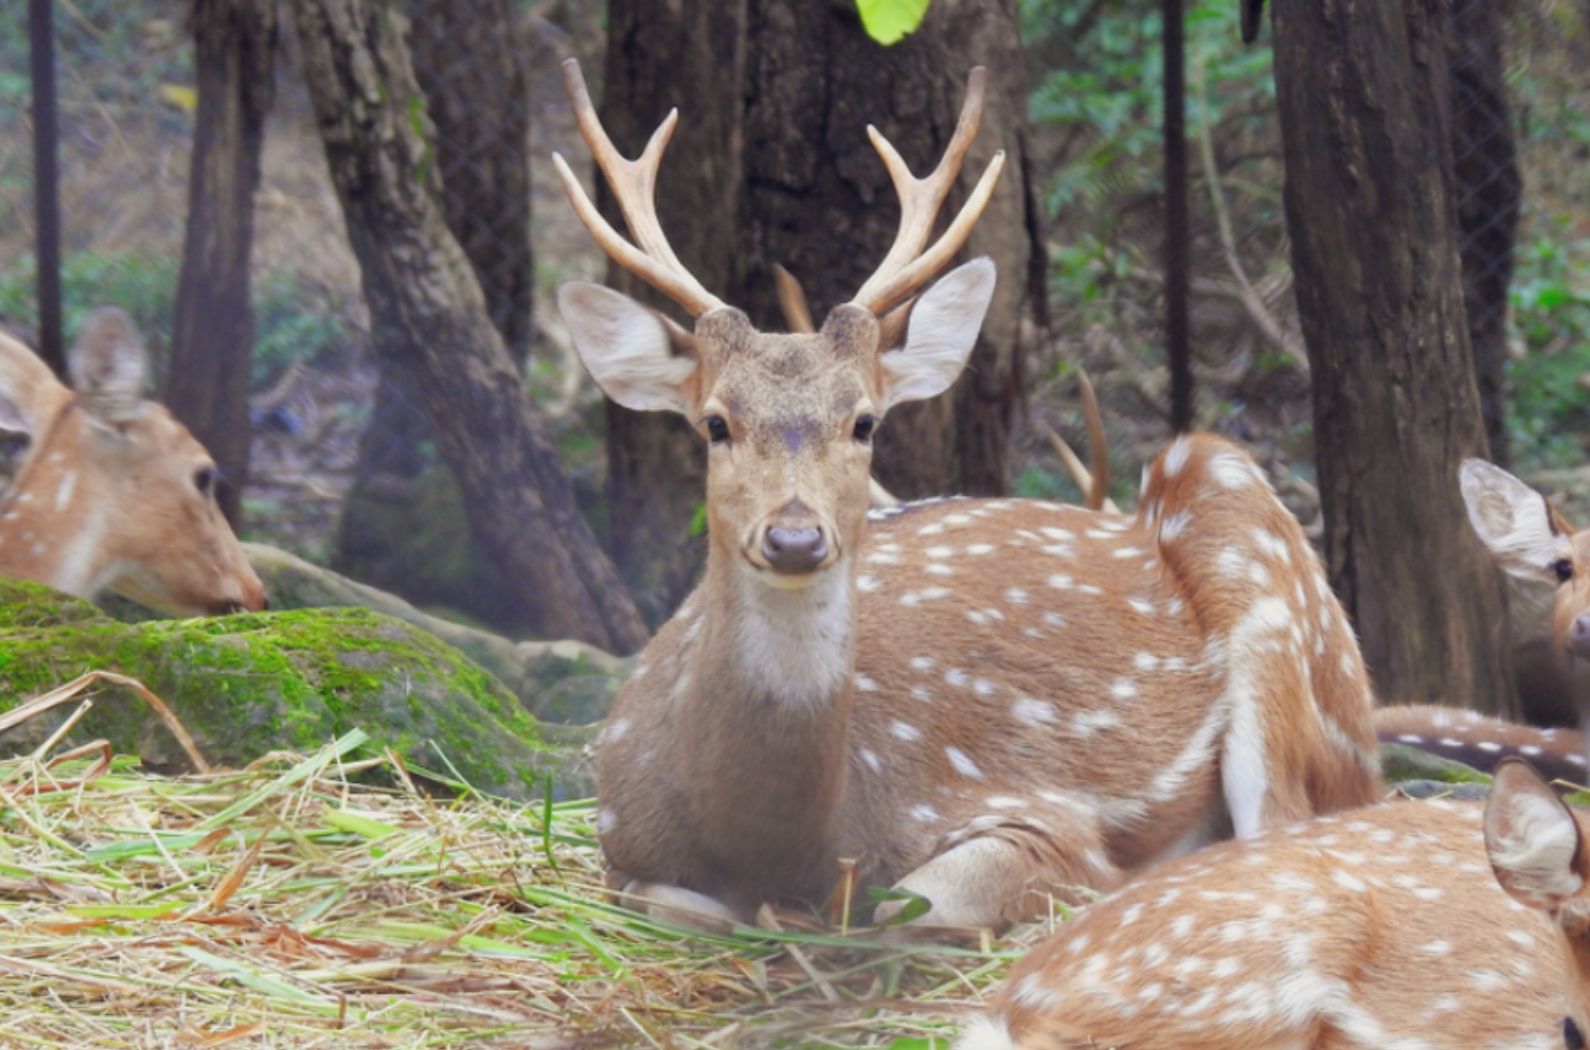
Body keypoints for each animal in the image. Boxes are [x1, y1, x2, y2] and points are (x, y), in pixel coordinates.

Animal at [556, 59, 1380, 929]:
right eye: (716, 423)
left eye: (865, 421)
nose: (795, 537)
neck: (782, 845)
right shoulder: (619, 845)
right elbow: (675, 903)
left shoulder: (1043, 820)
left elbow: (916, 904)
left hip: (1273, 595)